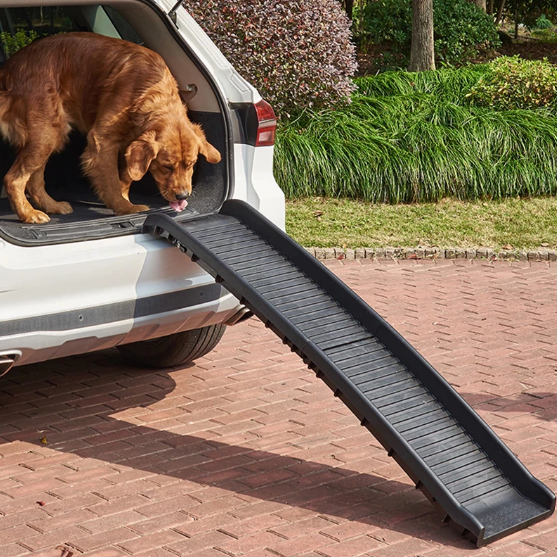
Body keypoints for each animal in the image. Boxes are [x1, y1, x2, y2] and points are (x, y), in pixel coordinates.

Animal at [0, 32, 220, 223]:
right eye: (167, 166)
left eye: (191, 164)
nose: (183, 196)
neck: (150, 90)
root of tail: (9, 69)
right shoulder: (102, 140)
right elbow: (112, 180)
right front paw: (126, 208)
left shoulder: (130, 144)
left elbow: (126, 177)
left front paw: (125, 200)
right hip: (47, 134)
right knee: (14, 179)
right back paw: (28, 214)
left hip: (51, 136)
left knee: (34, 180)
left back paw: (51, 206)